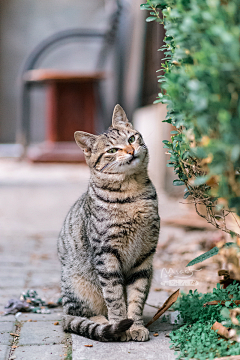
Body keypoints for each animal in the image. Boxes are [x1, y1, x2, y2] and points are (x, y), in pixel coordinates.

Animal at [57, 103, 160, 340]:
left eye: (131, 138)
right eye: (112, 151)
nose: (130, 151)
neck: (132, 193)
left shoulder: (145, 256)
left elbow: (136, 296)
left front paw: (136, 325)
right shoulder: (106, 254)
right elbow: (114, 296)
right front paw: (120, 326)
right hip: (77, 287)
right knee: (80, 315)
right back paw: (103, 324)